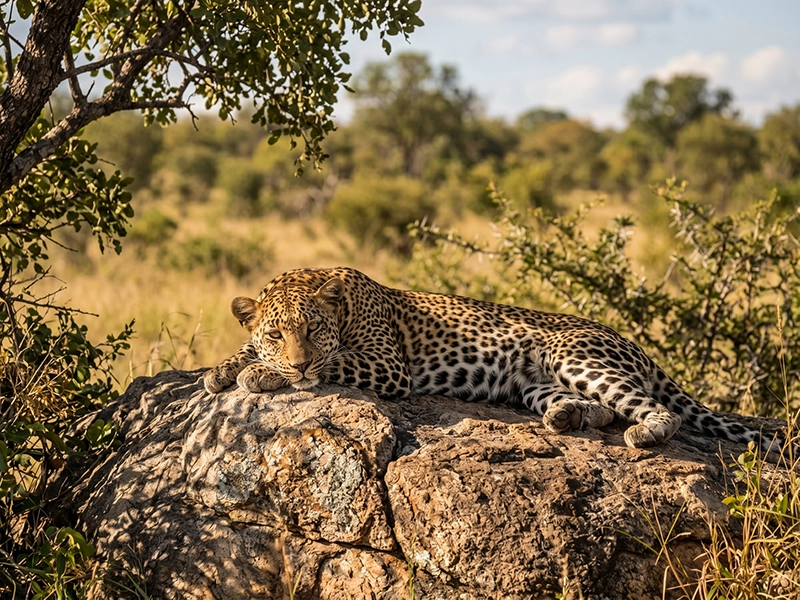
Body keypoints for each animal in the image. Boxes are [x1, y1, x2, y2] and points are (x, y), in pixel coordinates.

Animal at [204, 266, 782, 451]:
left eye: (313, 330)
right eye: (277, 332)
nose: (296, 362)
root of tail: (628, 338)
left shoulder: (387, 366)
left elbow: (333, 363)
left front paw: (261, 374)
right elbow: (241, 347)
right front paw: (223, 370)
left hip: (574, 356)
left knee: (654, 409)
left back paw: (644, 433)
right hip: (534, 381)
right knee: (599, 407)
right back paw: (567, 417)